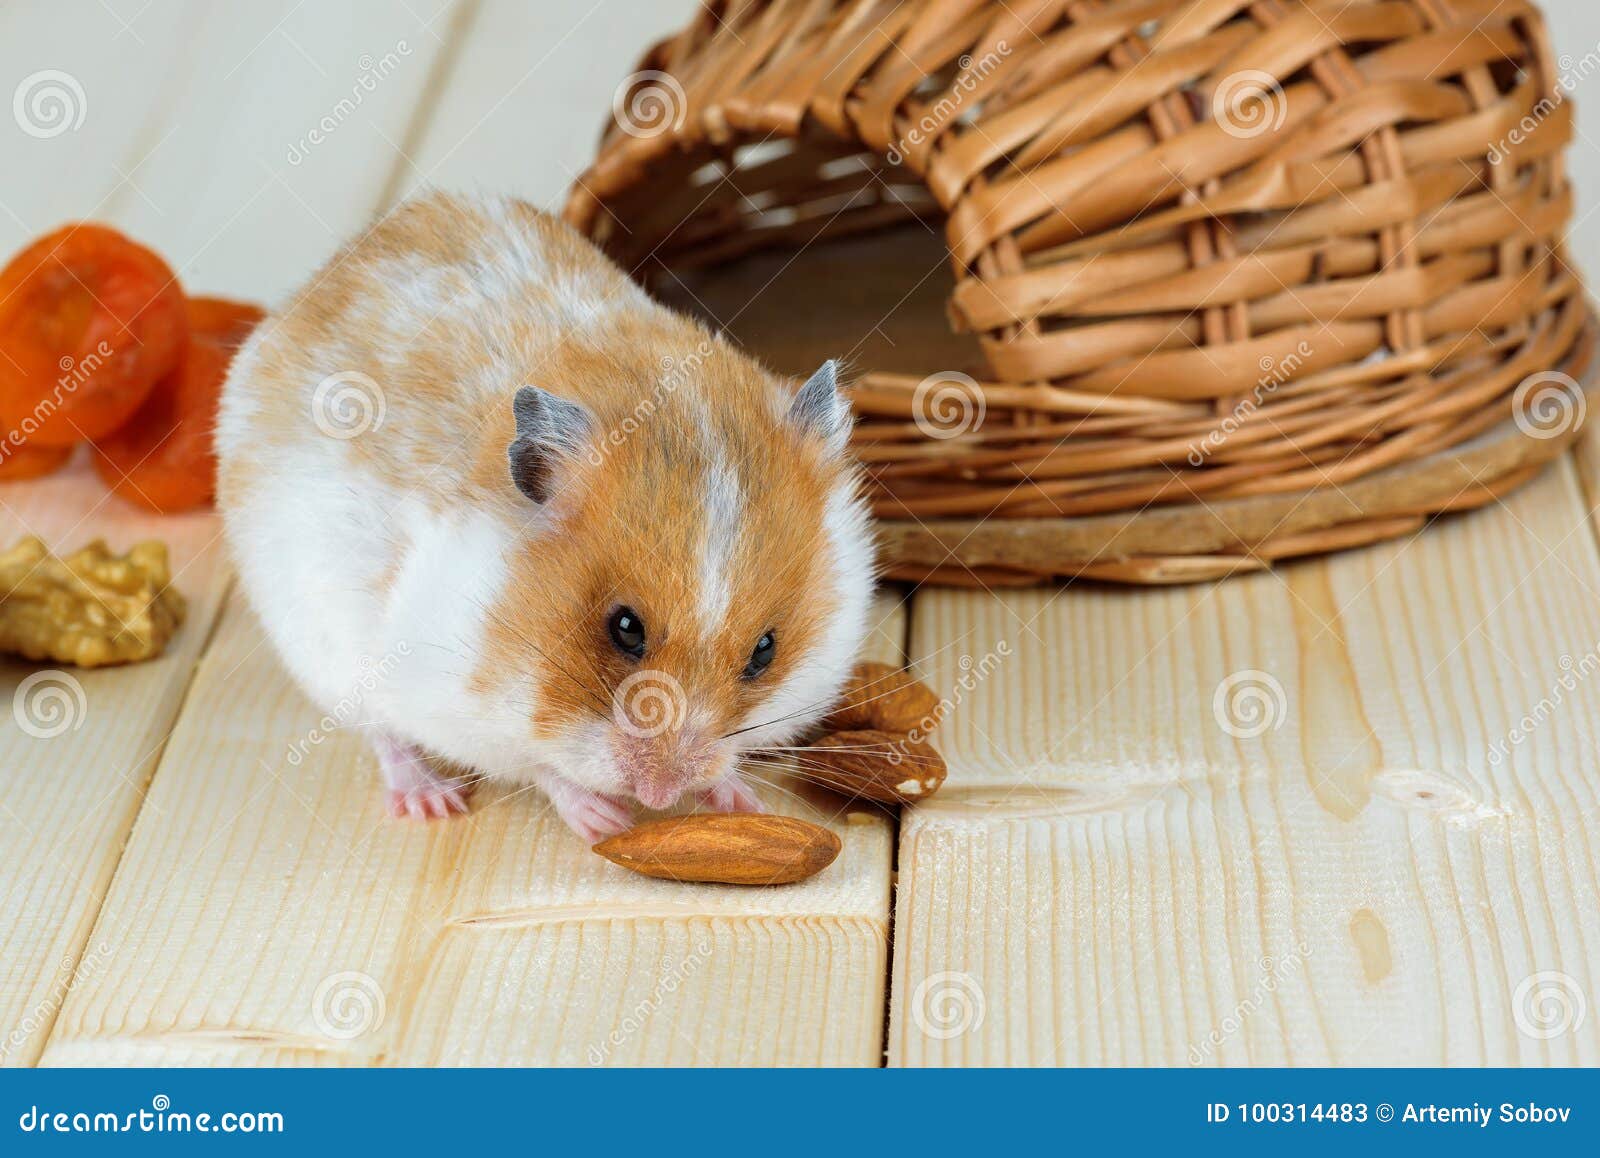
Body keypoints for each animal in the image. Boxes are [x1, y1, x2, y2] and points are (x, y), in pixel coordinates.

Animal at [215, 191, 877, 842]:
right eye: (625, 627)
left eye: (764, 651)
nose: (658, 795)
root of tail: (323, 277)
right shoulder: (447, 698)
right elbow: (536, 765)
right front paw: (605, 823)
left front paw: (740, 801)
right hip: (324, 650)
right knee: (384, 734)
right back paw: (431, 801)